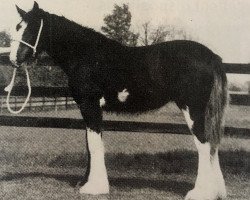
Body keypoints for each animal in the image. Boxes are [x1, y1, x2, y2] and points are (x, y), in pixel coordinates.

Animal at [9, 1, 229, 200]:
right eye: (17, 28)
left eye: (30, 29)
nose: (13, 59)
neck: (86, 55)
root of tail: (211, 56)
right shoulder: (90, 108)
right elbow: (91, 144)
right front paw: (88, 182)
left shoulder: (90, 105)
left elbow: (94, 145)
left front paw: (94, 187)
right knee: (212, 144)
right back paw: (216, 191)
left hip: (192, 109)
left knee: (203, 144)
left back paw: (200, 193)